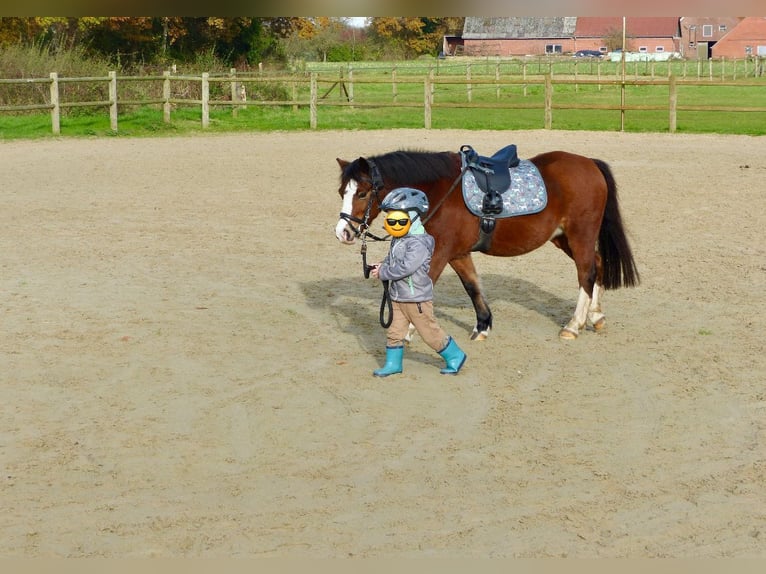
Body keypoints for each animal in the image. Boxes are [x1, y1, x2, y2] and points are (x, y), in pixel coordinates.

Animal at [332, 146, 640, 340]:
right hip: (563, 238)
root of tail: (590, 163)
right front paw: (482, 326)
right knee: (597, 264)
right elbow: (473, 287)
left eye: (362, 193)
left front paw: (407, 333)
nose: (343, 232)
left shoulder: (440, 252)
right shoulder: (457, 253)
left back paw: (574, 325)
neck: (438, 191)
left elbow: (421, 291)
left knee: (586, 272)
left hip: (580, 234)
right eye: (341, 191)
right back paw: (595, 317)